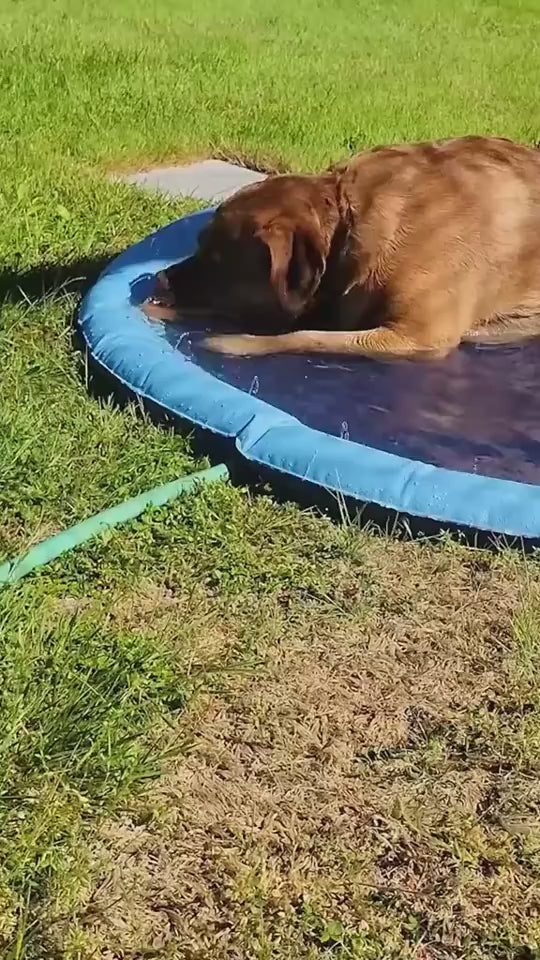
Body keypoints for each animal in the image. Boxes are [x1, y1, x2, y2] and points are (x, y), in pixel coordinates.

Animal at [146, 137, 540, 358]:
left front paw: (235, 344)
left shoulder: (417, 336)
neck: (348, 222)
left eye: (217, 260)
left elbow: (305, 337)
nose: (159, 278)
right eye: (198, 245)